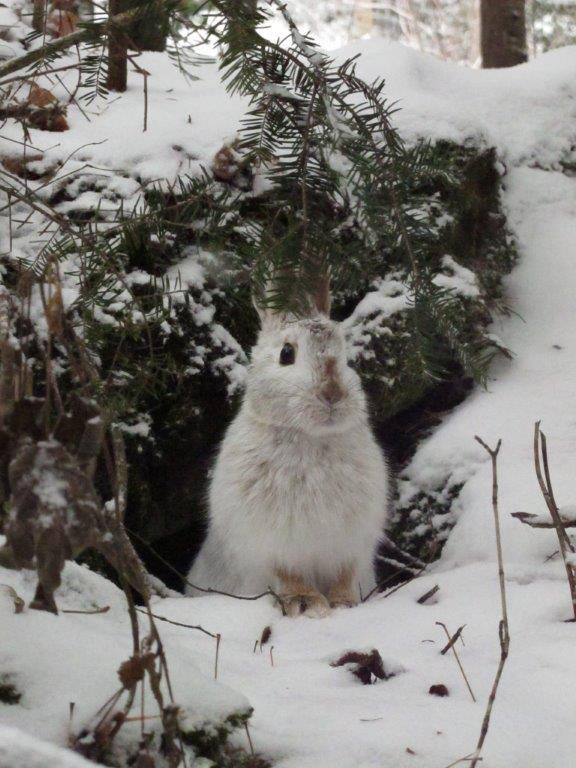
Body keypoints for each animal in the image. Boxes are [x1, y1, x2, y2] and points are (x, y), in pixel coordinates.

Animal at [187, 289, 390, 617]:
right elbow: (288, 575)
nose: (332, 394)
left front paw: (345, 604)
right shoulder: (271, 546)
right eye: (286, 354)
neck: (311, 438)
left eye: (345, 355)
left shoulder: (352, 544)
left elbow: (344, 575)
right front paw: (306, 604)